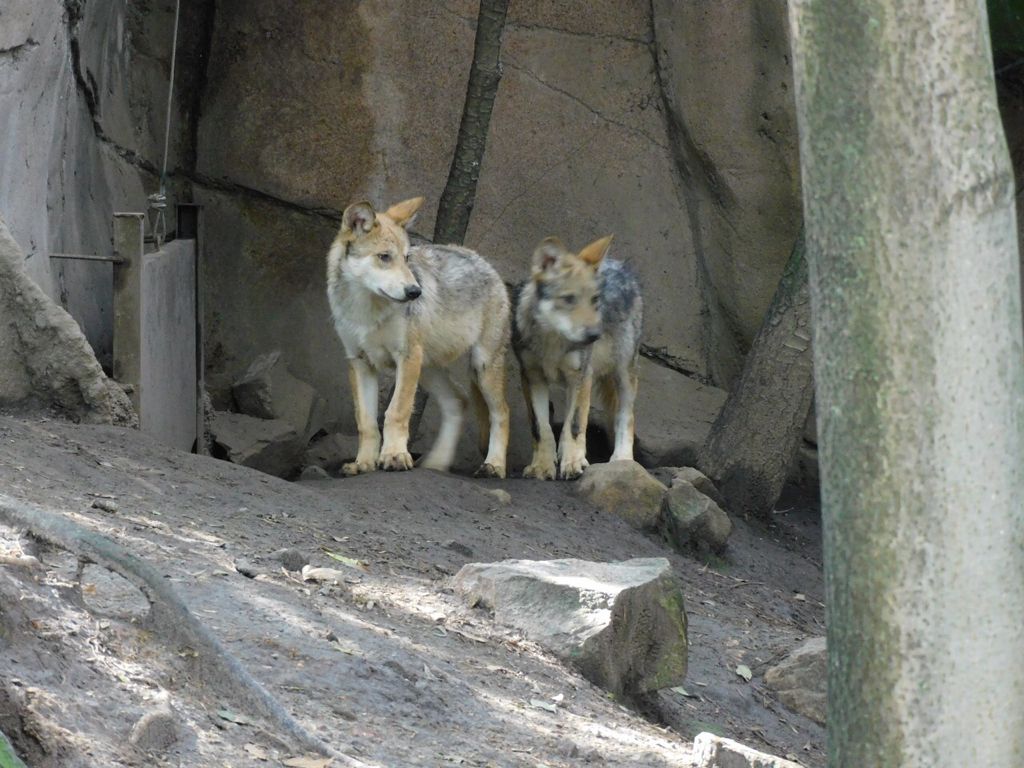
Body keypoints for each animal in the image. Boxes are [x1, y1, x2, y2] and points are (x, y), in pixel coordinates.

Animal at [327, 195, 512, 479]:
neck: (366, 311)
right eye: (384, 257)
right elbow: (366, 423)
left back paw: (494, 466)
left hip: (480, 367)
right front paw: (364, 464)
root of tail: (483, 260)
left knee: (501, 413)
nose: (415, 291)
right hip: (428, 370)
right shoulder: (359, 362)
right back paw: (436, 464)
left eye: (406, 258)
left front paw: (394, 456)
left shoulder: (406, 356)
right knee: (458, 401)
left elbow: (396, 412)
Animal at [509, 234, 638, 479]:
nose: (595, 335)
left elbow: (576, 424)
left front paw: (574, 463)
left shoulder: (582, 375)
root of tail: (618, 265)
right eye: (569, 299)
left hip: (623, 376)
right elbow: (541, 427)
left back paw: (623, 461)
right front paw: (542, 466)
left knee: (626, 417)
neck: (552, 342)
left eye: (595, 300)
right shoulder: (532, 376)